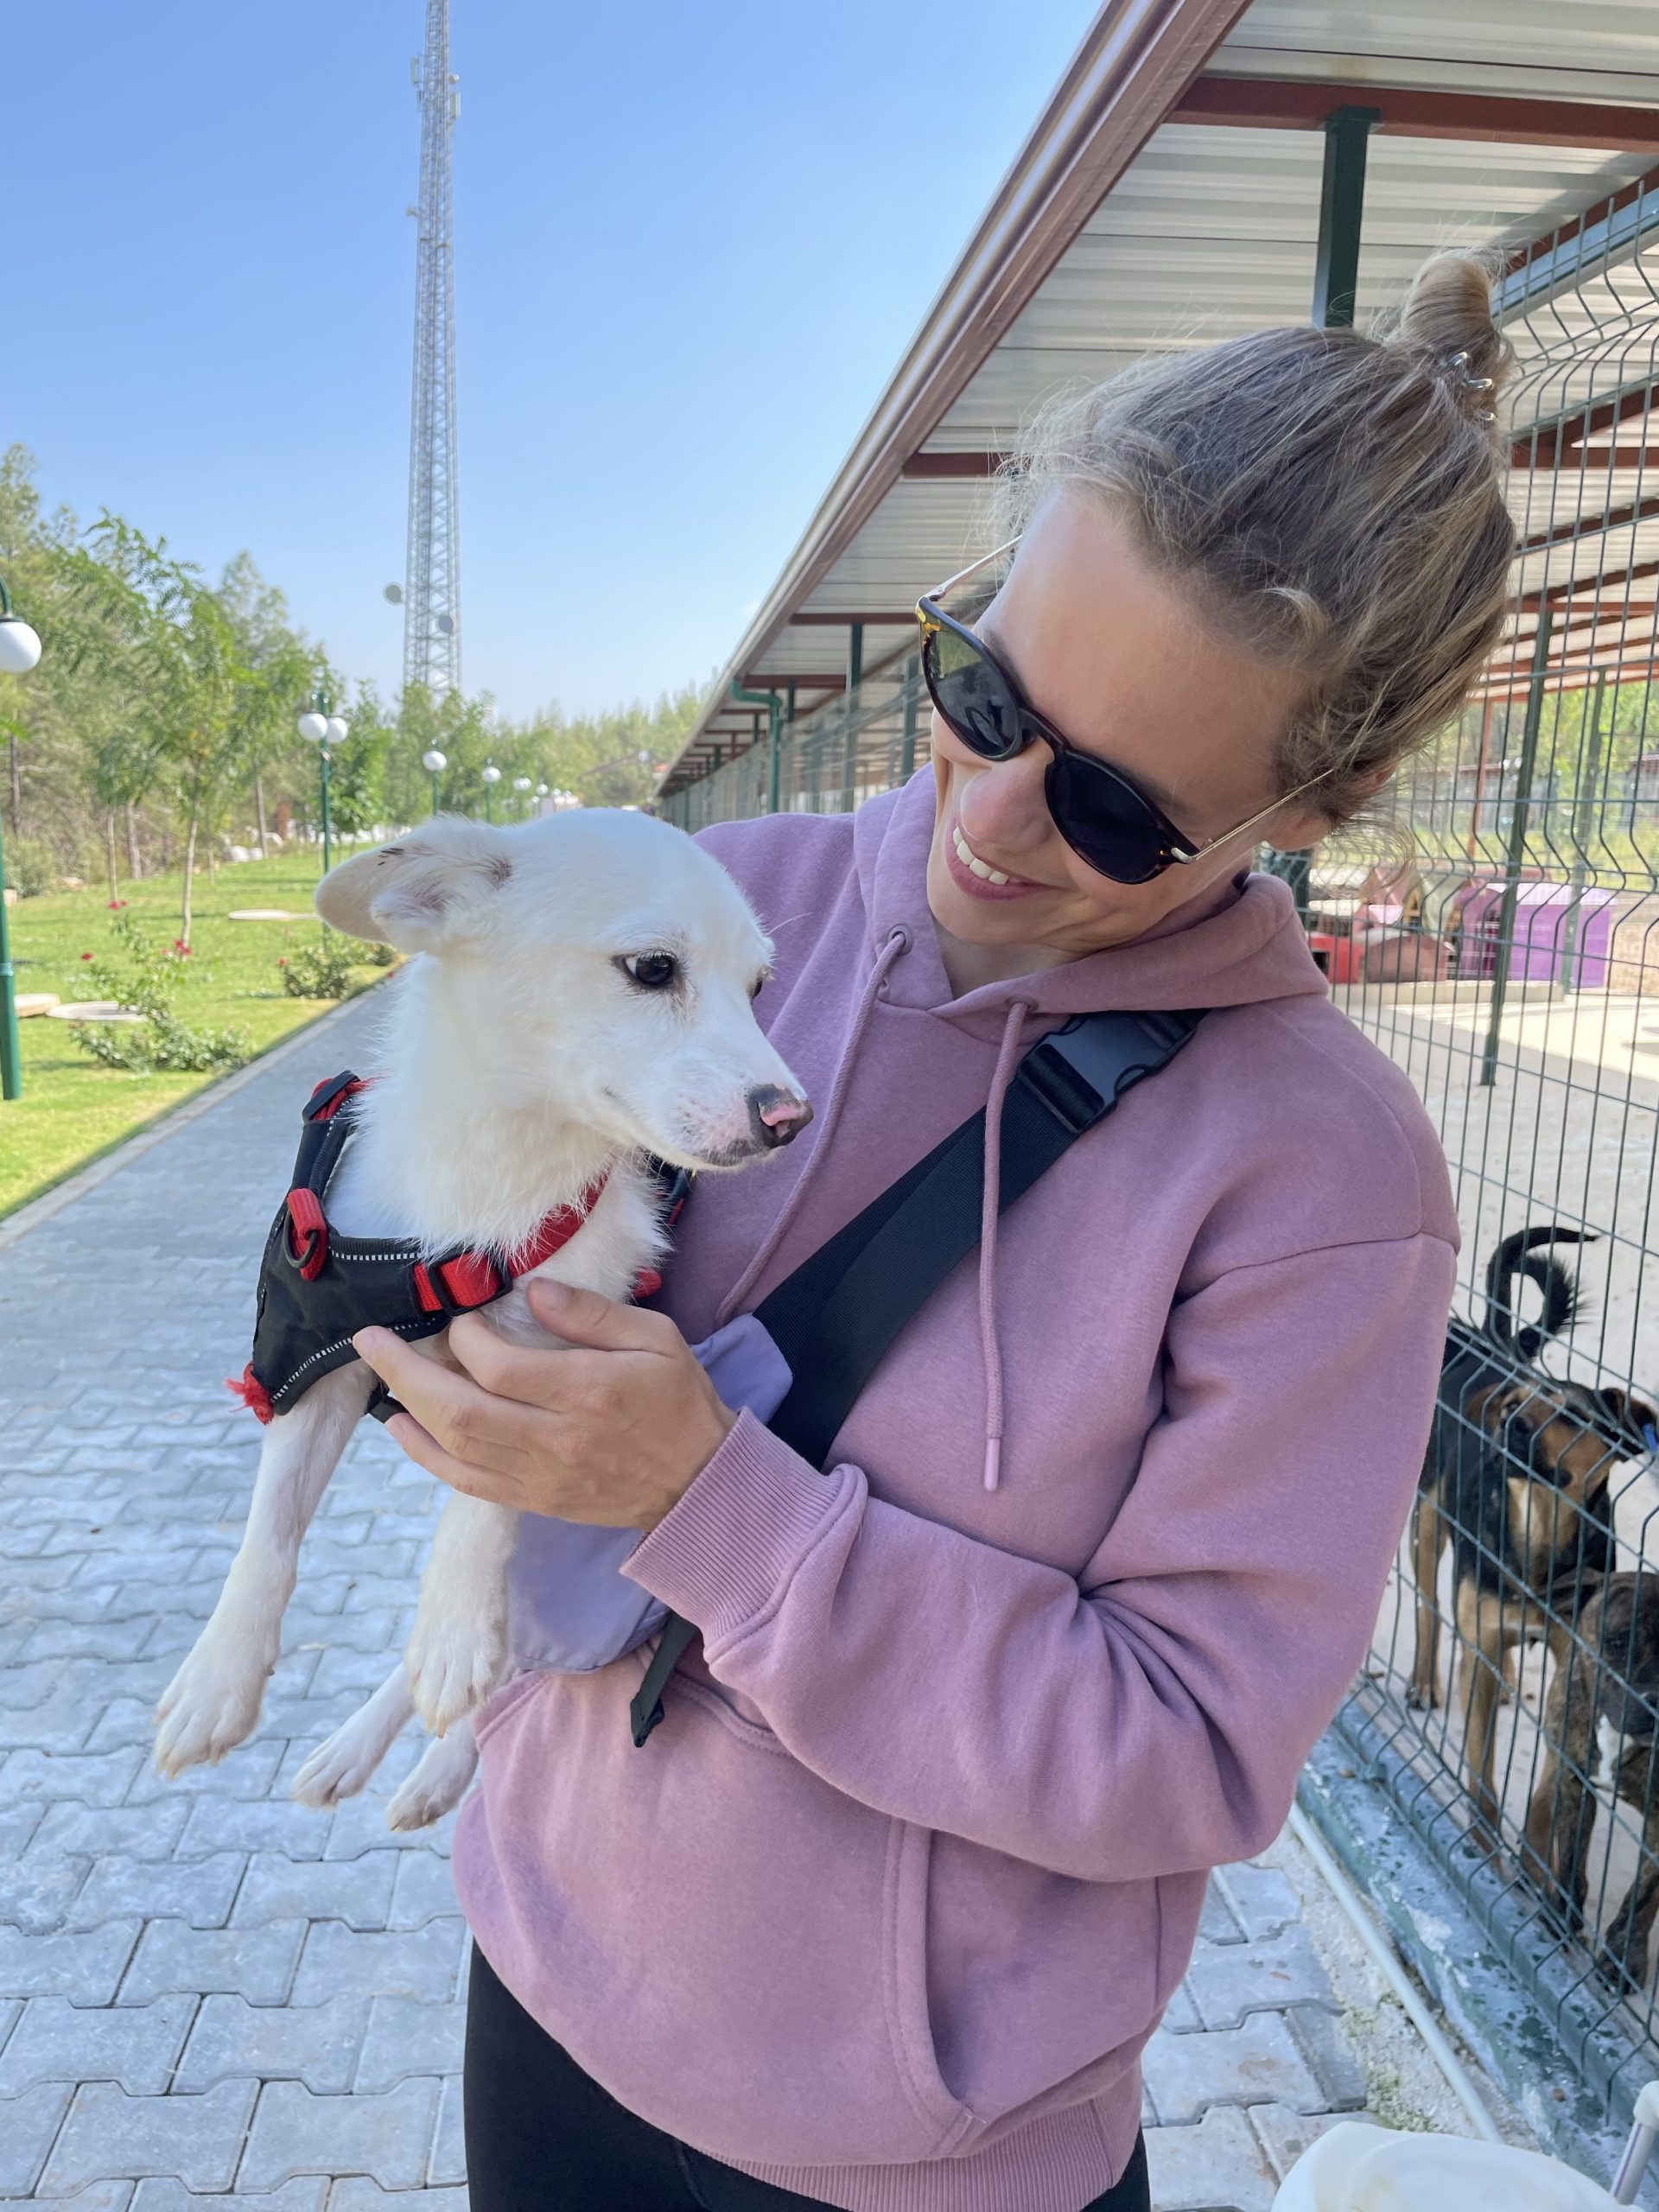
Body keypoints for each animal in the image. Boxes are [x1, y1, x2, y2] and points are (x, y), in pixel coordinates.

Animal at [153, 809, 809, 1827]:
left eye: (758, 987)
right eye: (653, 968)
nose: (791, 1117)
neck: (495, 1182)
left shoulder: (547, 1365)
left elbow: (482, 1508)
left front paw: (453, 1625)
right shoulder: (315, 1359)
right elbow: (269, 1528)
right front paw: (217, 1677)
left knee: (514, 1653)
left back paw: (439, 1741)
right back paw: (359, 1748)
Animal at [1409, 1225, 1657, 1838]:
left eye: (1575, 1416)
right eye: (1516, 1404)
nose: (1510, 1424)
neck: (1538, 1526)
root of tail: (1484, 1343)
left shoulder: (1577, 1665)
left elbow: (1552, 1786)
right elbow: (1481, 1772)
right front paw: (1484, 1842)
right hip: (1426, 1520)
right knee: (1430, 1604)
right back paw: (1424, 1680)